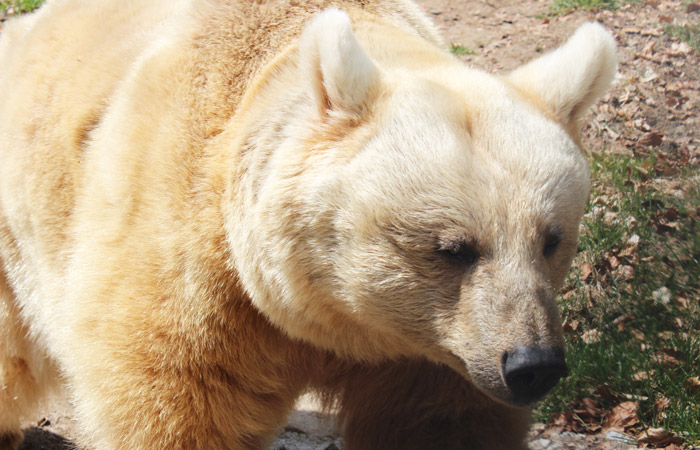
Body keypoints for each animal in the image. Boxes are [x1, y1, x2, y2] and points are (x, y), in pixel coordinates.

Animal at [0, 0, 616, 449]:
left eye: (551, 239)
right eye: (454, 248)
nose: (533, 365)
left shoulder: (433, 352)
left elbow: (441, 421)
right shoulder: (193, 268)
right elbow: (172, 400)